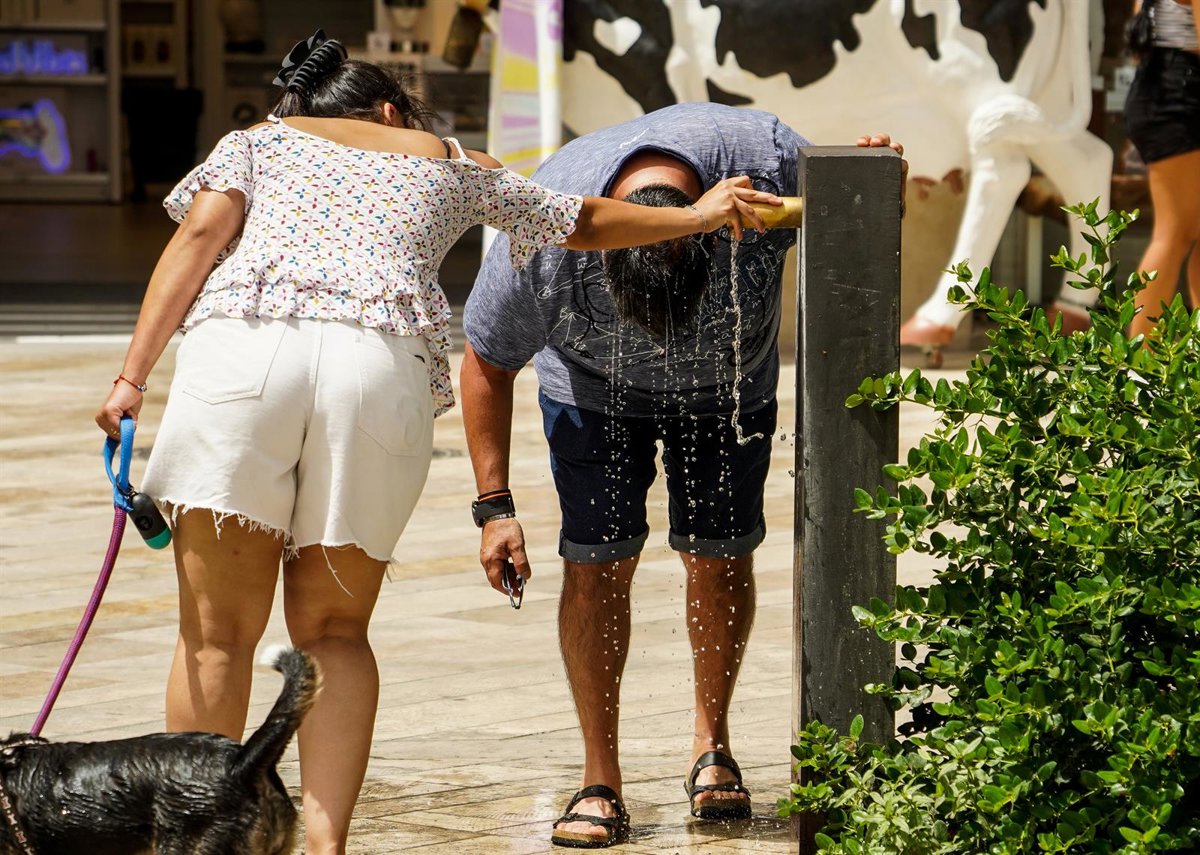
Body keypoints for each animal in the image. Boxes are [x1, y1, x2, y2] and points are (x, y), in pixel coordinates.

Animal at [559, 0, 1113, 363]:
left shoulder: (650, 59)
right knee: (1085, 158)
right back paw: (1076, 309)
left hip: (975, 71)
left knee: (1004, 160)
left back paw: (933, 320)